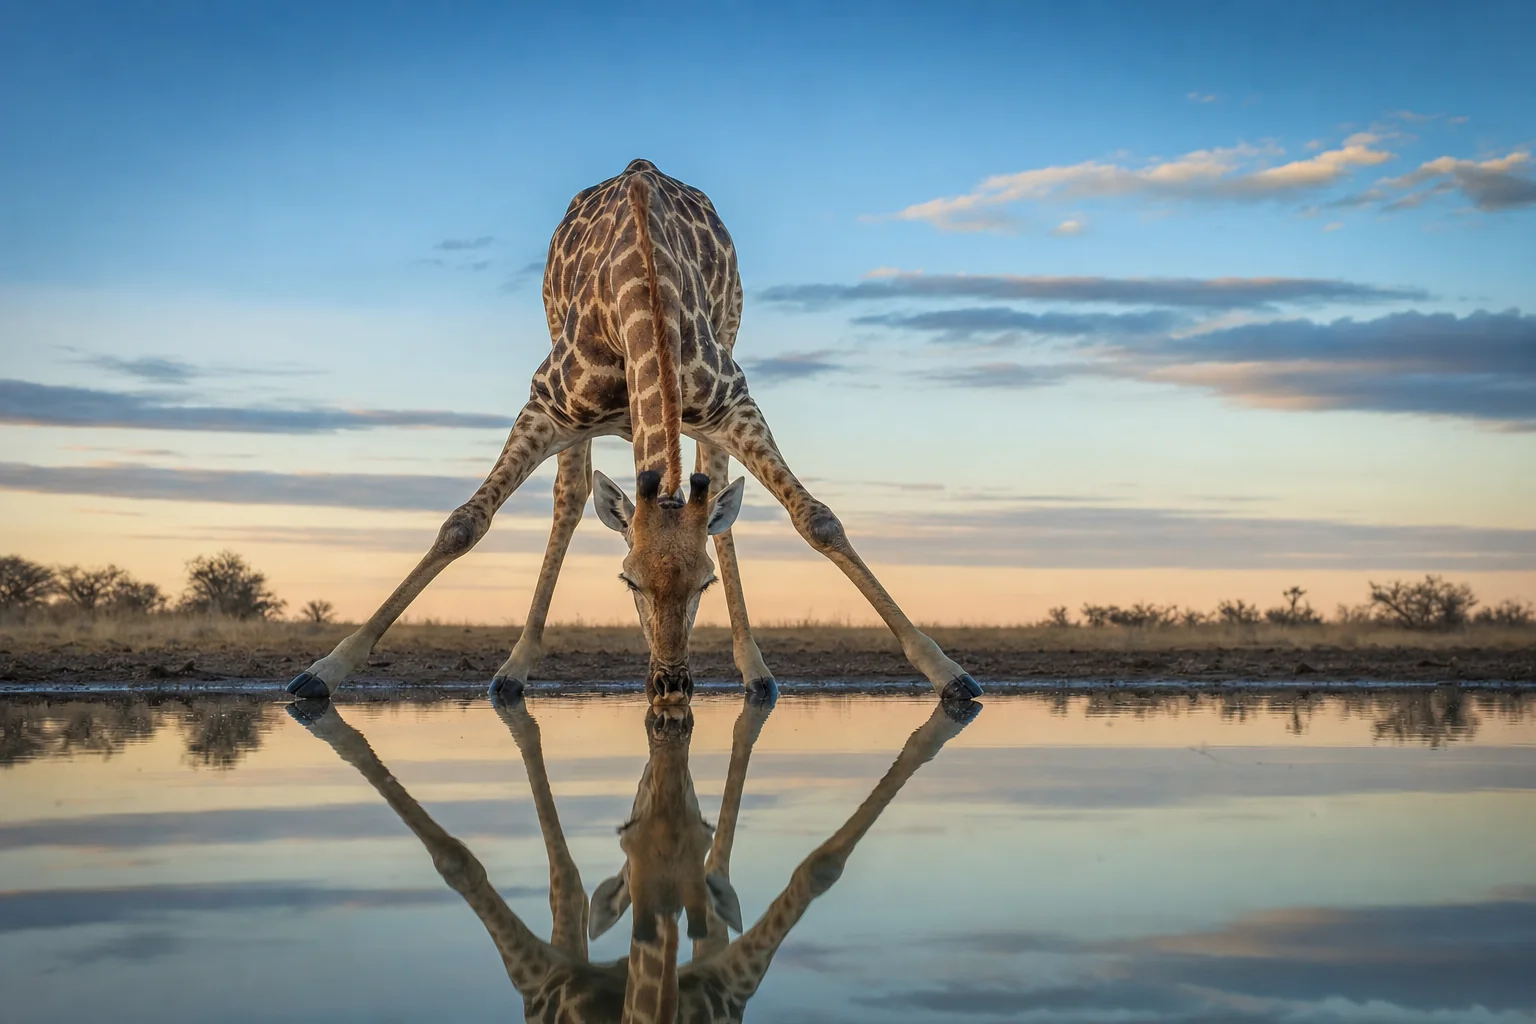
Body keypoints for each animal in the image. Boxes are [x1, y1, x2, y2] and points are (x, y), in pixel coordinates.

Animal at [286, 159, 982, 705]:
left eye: (701, 581)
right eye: (628, 579)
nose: (671, 684)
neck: (641, 291)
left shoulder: (733, 403)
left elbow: (816, 519)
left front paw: (947, 672)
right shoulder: (546, 405)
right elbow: (465, 523)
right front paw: (323, 672)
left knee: (717, 498)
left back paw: (756, 672)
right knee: (568, 501)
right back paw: (513, 670)